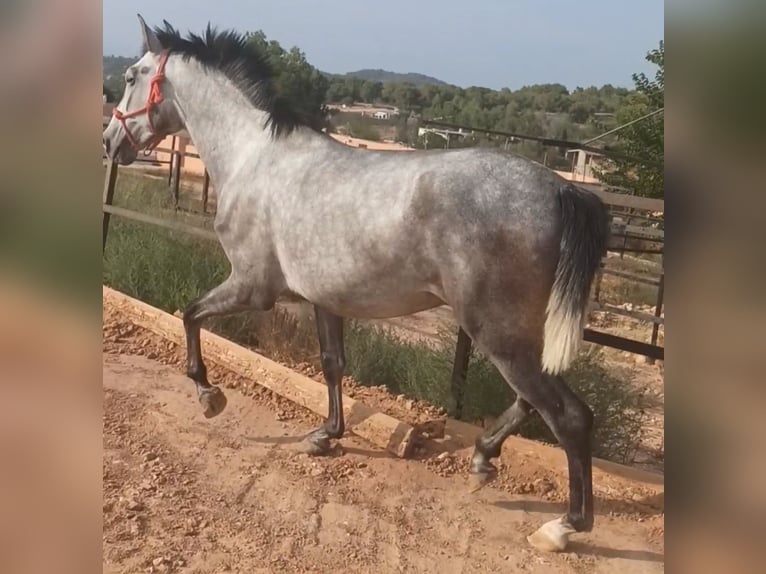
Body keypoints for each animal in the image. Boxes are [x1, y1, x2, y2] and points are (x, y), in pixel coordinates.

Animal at [103, 14, 612, 552]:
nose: (110, 141)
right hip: (518, 333)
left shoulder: (251, 288)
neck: (253, 159)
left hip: (496, 331)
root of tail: (560, 189)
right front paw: (326, 434)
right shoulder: (325, 299)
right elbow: (332, 364)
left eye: (132, 75)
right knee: (531, 403)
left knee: (569, 416)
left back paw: (562, 527)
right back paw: (481, 459)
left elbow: (189, 313)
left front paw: (209, 397)